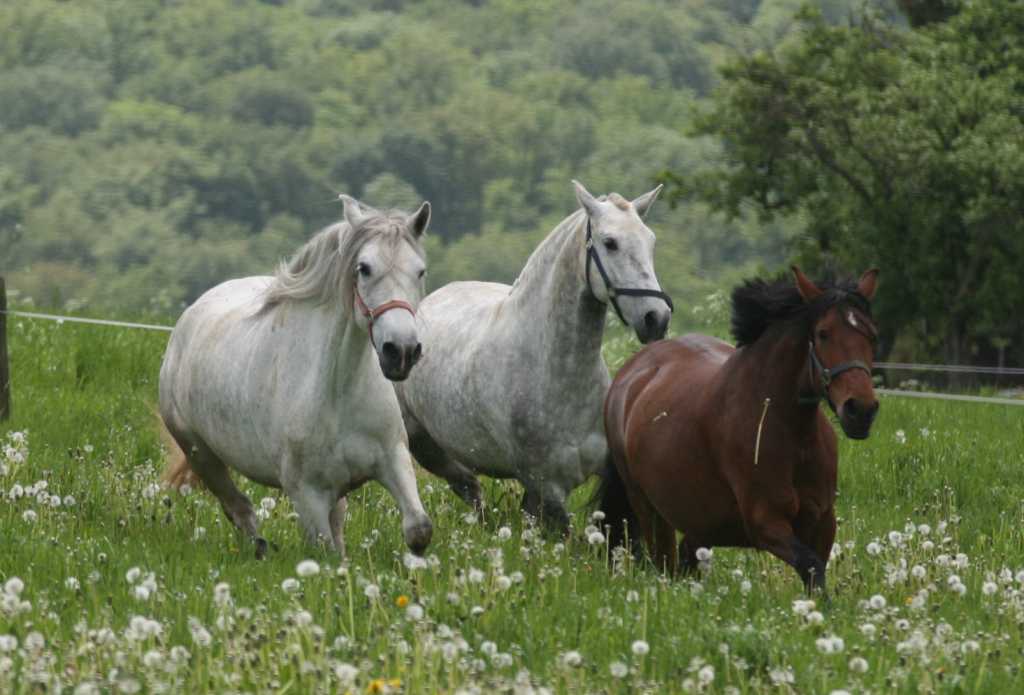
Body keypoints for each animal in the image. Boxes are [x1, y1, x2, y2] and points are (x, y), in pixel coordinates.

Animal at [158, 195, 432, 560]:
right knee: (240, 510)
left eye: (420, 270)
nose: (401, 351)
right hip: (202, 456)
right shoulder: (307, 494)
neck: (338, 392)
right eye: (364, 268)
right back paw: (260, 549)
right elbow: (327, 554)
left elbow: (418, 530)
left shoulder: (392, 459)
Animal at [598, 266, 880, 593]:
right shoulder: (765, 522)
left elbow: (816, 578)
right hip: (649, 509)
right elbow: (810, 565)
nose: (861, 410)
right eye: (823, 333)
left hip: (702, 523)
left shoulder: (823, 521)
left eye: (872, 335)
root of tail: (630, 375)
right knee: (665, 563)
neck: (791, 434)